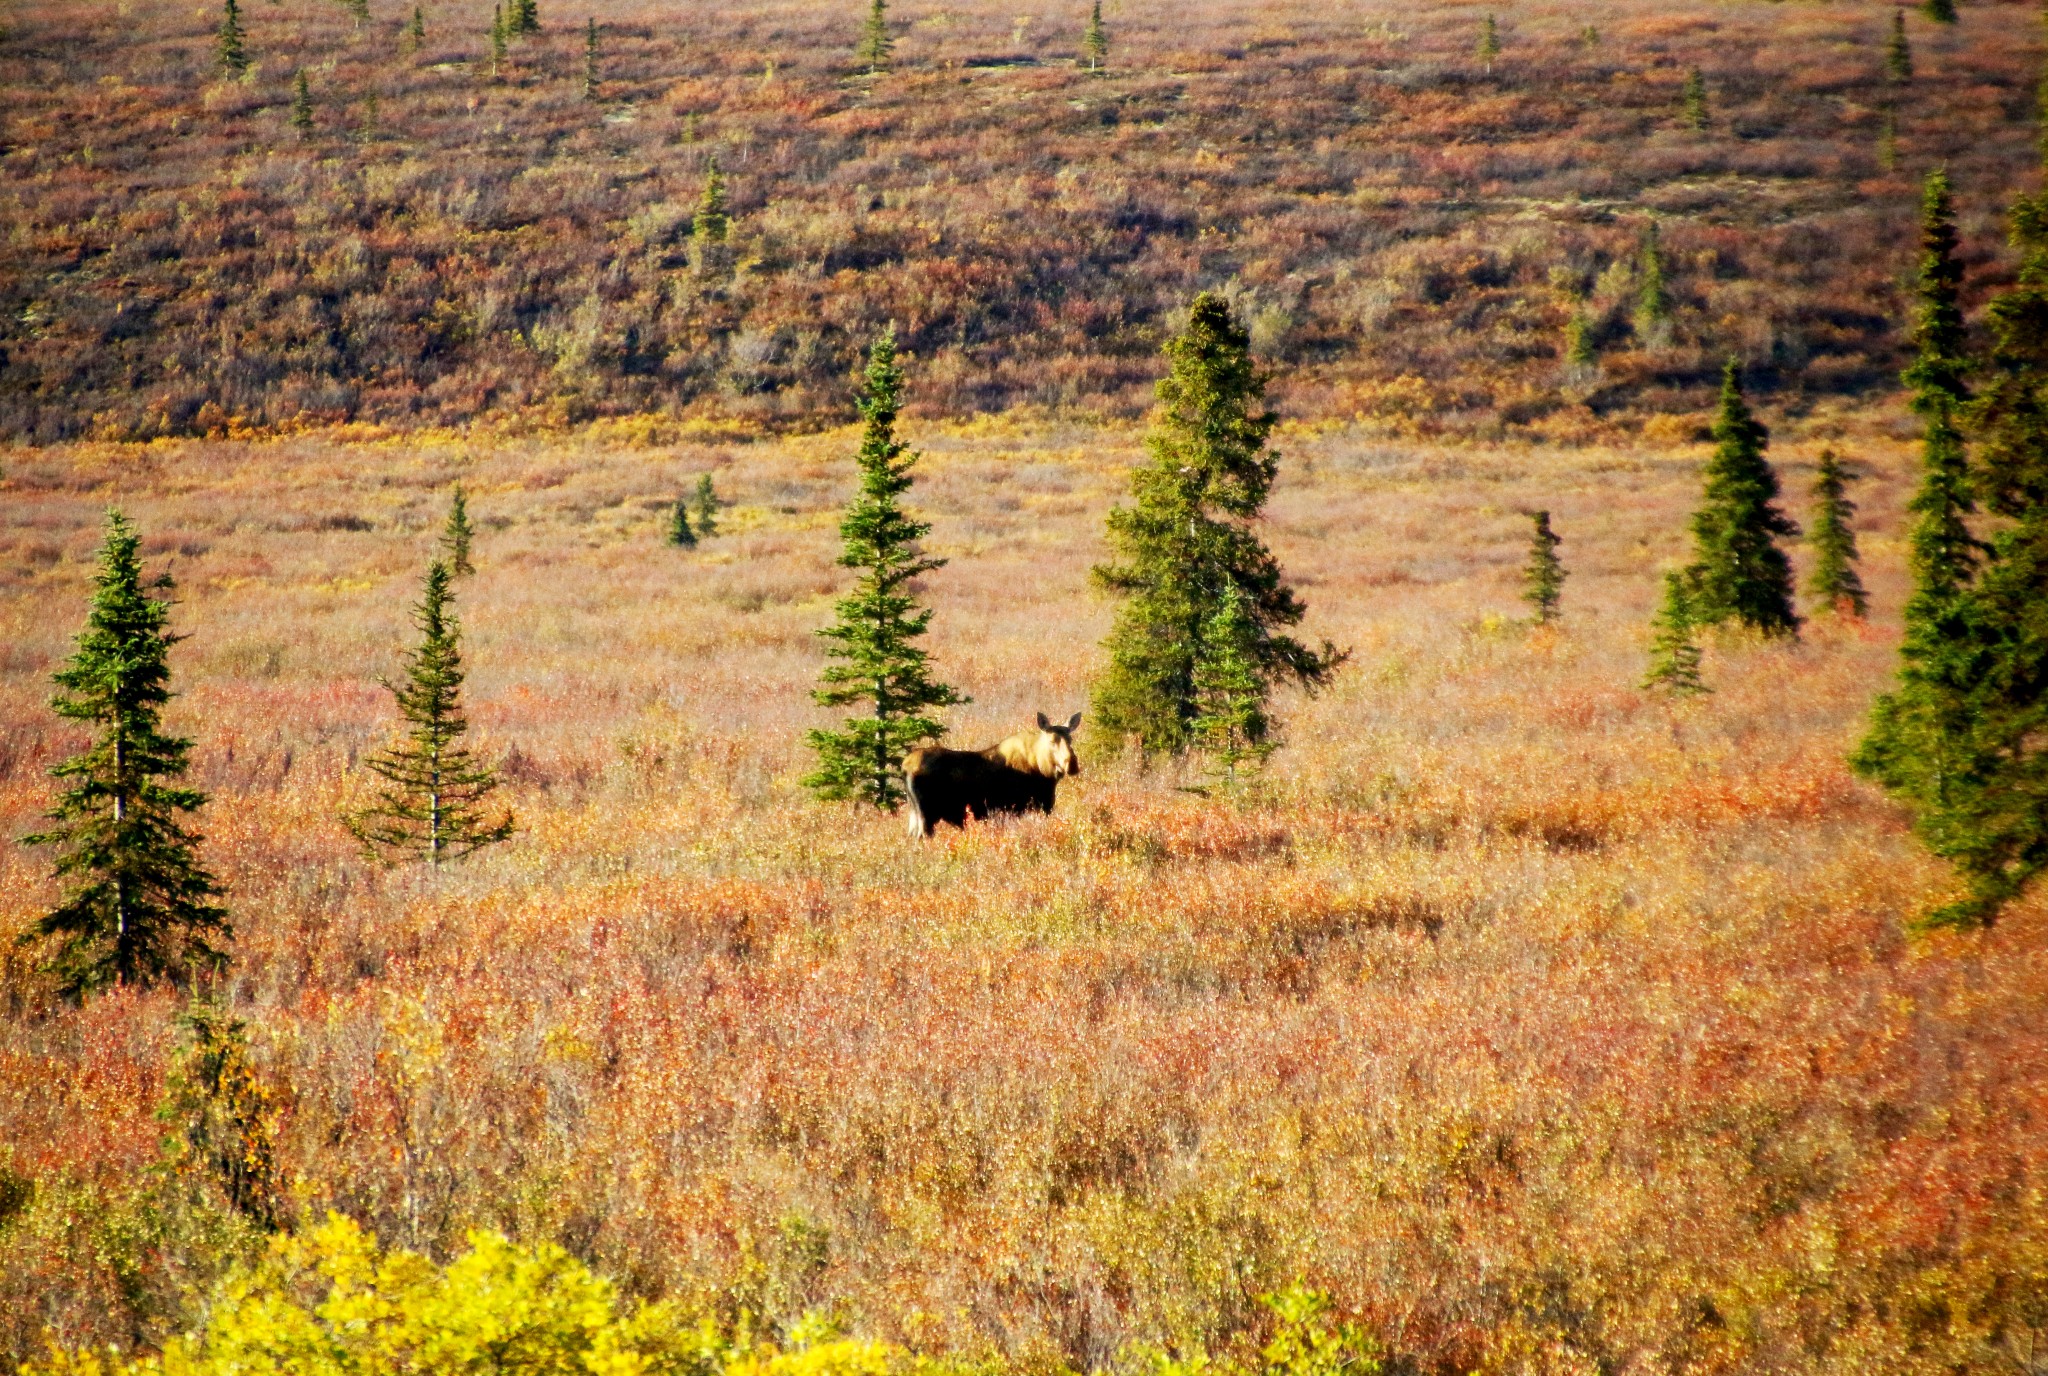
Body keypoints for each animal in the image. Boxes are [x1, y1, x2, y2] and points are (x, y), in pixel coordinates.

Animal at [901, 716, 1081, 831]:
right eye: (1052, 741)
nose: (1071, 763)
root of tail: (905, 767)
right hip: (926, 816)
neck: (1044, 773)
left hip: (915, 816)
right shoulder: (1020, 809)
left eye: (1071, 739)